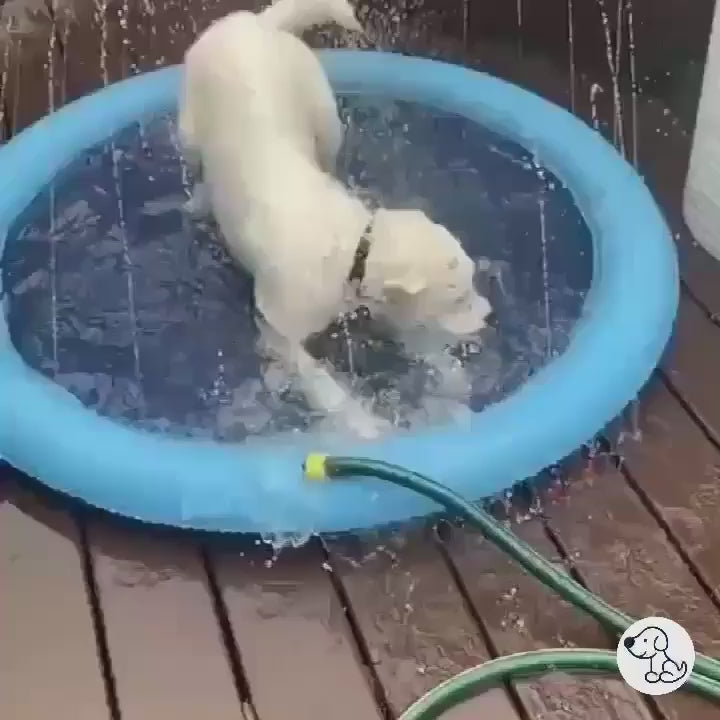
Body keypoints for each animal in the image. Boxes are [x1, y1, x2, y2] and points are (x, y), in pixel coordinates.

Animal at [180, 0, 496, 438]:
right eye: (459, 297)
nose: (488, 315)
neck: (353, 248)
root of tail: (255, 23)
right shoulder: (280, 329)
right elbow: (322, 382)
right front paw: (363, 423)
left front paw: (450, 375)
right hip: (190, 128)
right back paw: (198, 202)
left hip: (323, 112)